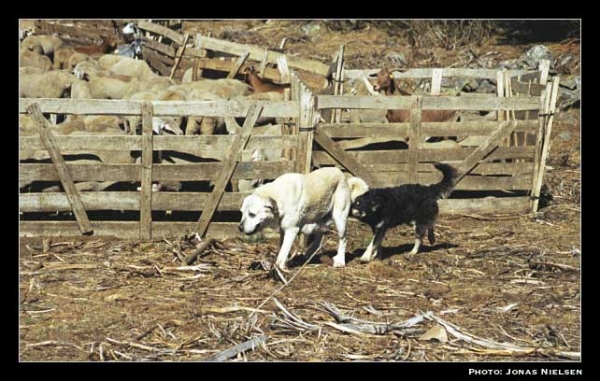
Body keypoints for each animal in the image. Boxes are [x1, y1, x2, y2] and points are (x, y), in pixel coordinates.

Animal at [237, 167, 368, 270]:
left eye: (252, 214)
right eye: (242, 213)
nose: (240, 228)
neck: (278, 196)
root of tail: (343, 176)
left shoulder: (291, 230)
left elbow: (282, 253)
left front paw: (280, 268)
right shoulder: (283, 230)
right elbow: (282, 248)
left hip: (340, 219)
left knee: (343, 239)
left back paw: (340, 261)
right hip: (317, 222)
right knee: (319, 240)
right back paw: (308, 255)